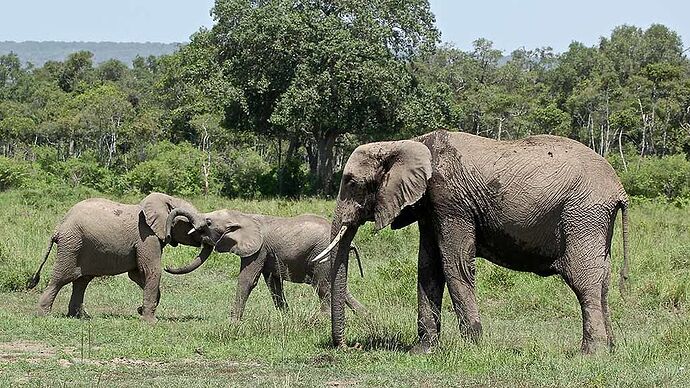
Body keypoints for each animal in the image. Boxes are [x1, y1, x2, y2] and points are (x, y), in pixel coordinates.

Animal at [26, 192, 210, 322]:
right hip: (71, 245)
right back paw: (44, 315)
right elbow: (152, 270)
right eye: (192, 226)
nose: (206, 229)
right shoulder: (146, 237)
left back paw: (80, 317)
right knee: (61, 278)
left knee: (81, 281)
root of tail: (59, 227)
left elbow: (136, 274)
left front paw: (143, 310)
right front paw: (151, 322)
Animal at [163, 209, 362, 322]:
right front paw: (285, 318)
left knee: (322, 286)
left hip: (323, 253)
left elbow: (247, 280)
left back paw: (322, 320)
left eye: (209, 223)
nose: (166, 266)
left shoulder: (258, 250)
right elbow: (273, 284)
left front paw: (233, 323)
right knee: (336, 287)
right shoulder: (268, 254)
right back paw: (364, 316)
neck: (243, 216)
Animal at [318, 130, 628, 354]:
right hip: (595, 219)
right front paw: (423, 351)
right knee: (602, 280)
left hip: (583, 213)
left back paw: (590, 353)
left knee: (583, 281)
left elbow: (454, 264)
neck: (408, 143)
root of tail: (619, 189)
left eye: (351, 182)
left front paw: (472, 347)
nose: (350, 347)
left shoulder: (450, 201)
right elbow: (428, 268)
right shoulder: (430, 207)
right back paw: (611, 349)